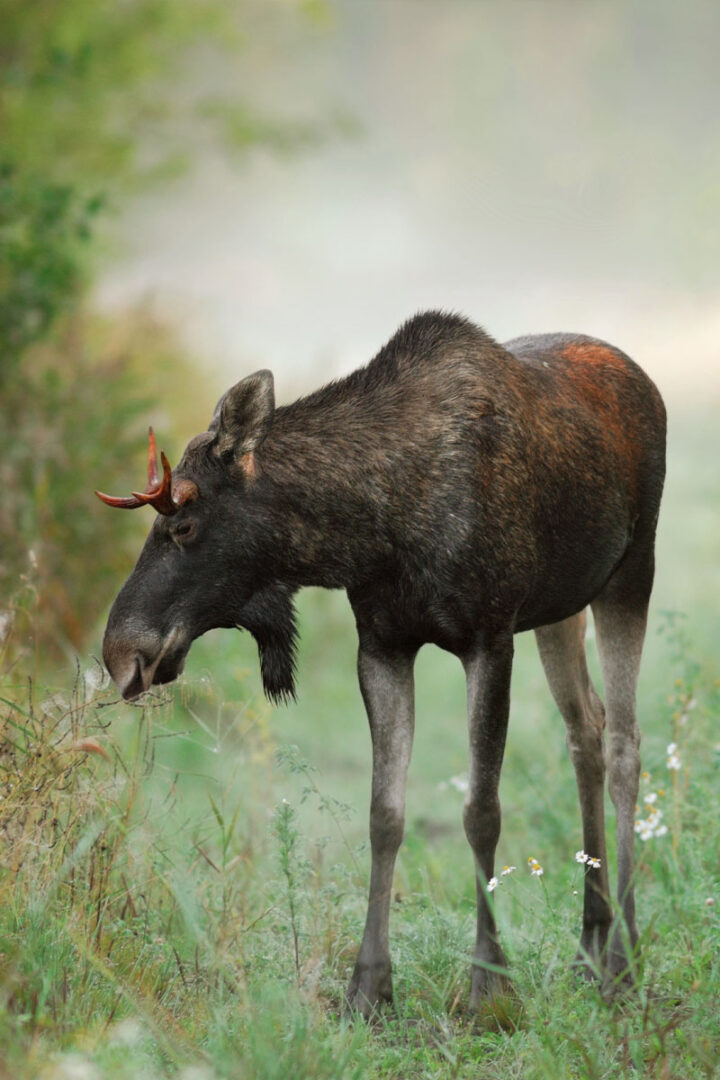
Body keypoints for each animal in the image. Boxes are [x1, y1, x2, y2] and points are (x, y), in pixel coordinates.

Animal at [97, 311, 666, 1016]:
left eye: (182, 526)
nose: (119, 652)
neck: (373, 530)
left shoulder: (489, 638)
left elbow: (481, 812)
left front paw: (489, 983)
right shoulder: (383, 646)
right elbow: (384, 815)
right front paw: (368, 985)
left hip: (631, 573)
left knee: (625, 743)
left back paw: (623, 958)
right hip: (562, 605)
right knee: (585, 727)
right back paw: (589, 944)